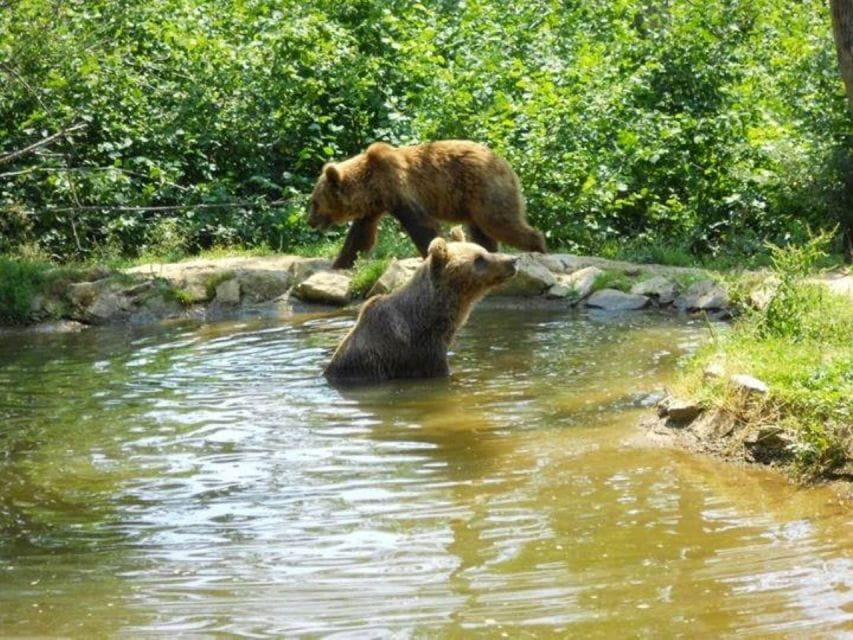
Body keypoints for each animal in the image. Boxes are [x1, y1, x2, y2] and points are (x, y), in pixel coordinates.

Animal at [307, 140, 546, 269]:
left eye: (315, 203)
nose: (310, 221)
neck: (372, 187)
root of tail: (505, 163)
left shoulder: (400, 189)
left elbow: (422, 225)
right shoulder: (373, 208)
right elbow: (360, 237)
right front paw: (340, 263)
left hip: (485, 189)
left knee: (500, 222)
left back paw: (539, 248)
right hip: (473, 202)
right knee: (483, 231)